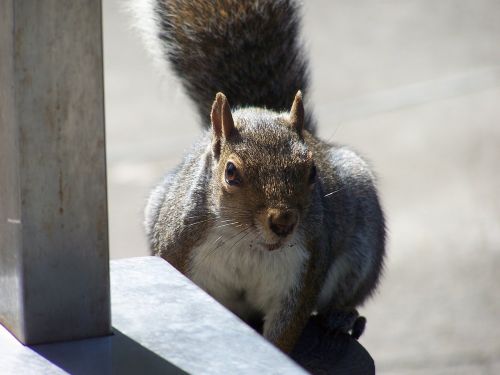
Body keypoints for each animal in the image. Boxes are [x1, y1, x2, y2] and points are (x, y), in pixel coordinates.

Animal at [136, 0, 386, 354]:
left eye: (312, 171)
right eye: (231, 172)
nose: (283, 222)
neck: (248, 243)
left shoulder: (303, 271)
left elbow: (284, 332)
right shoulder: (179, 253)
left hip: (363, 240)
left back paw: (343, 317)